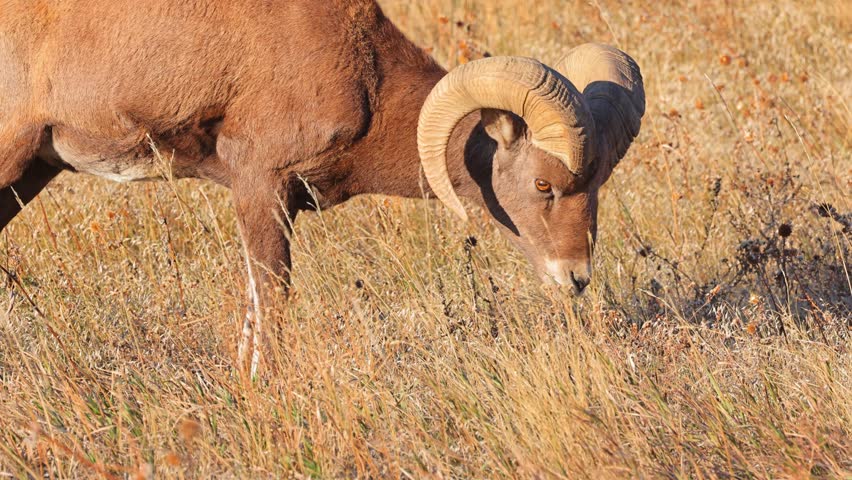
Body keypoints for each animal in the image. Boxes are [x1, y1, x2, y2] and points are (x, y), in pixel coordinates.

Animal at [0, 0, 640, 376]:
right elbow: (272, 298)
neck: (365, 75)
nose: (576, 278)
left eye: (597, 187)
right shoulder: (262, 190)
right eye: (543, 184)